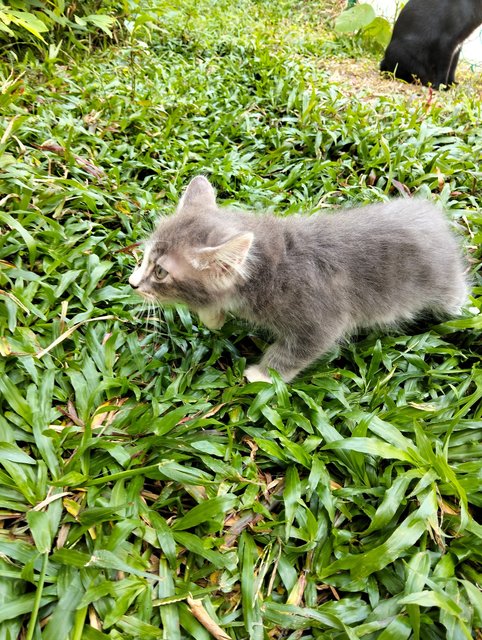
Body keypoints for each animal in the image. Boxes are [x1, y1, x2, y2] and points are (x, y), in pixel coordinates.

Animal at [128, 176, 466, 380]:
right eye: (144, 257)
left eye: (160, 272)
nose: (132, 283)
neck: (269, 269)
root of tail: (436, 219)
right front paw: (213, 316)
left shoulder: (319, 321)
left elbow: (294, 351)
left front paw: (263, 375)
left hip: (444, 283)